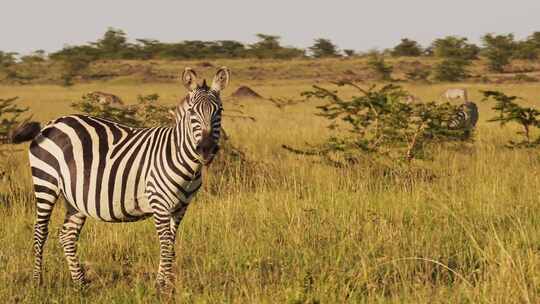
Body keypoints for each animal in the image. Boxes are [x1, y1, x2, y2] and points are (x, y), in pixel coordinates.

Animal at [14, 67, 230, 288]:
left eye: (220, 110)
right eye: (192, 111)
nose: (206, 149)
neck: (182, 159)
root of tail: (50, 123)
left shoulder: (180, 208)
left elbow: (170, 246)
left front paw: (166, 284)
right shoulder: (159, 203)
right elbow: (165, 246)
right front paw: (161, 286)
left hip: (75, 196)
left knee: (67, 235)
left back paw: (80, 283)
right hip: (45, 182)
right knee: (40, 231)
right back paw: (37, 281)